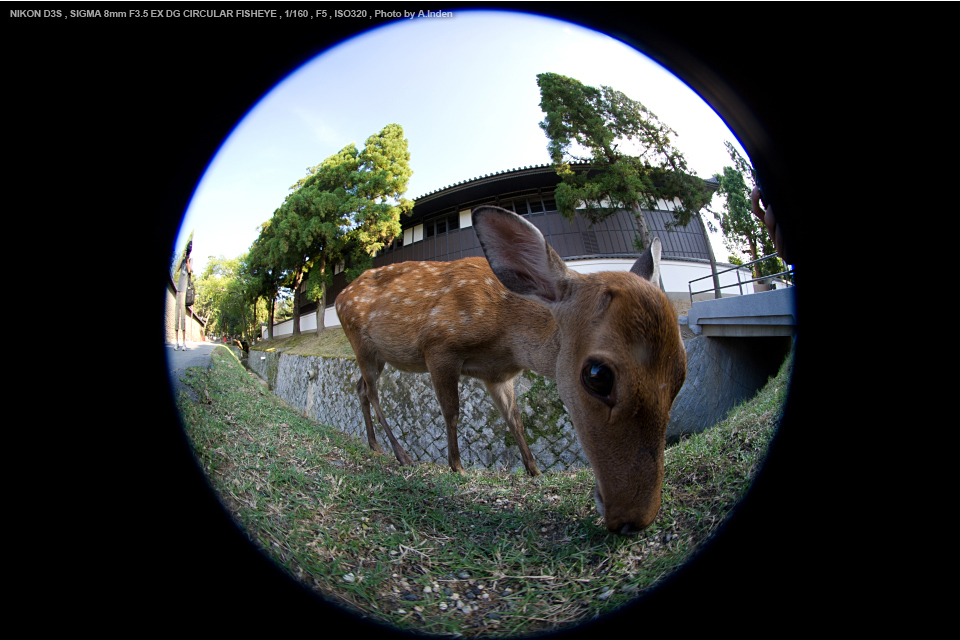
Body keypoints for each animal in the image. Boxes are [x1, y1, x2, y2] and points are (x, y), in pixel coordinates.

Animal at [334, 206, 688, 536]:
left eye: (682, 374)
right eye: (597, 375)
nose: (634, 518)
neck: (506, 337)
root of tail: (338, 296)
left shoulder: (497, 375)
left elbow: (515, 420)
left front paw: (535, 471)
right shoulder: (438, 343)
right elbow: (452, 411)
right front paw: (457, 467)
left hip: (377, 355)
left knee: (359, 387)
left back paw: (375, 445)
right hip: (361, 342)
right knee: (373, 391)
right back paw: (401, 454)